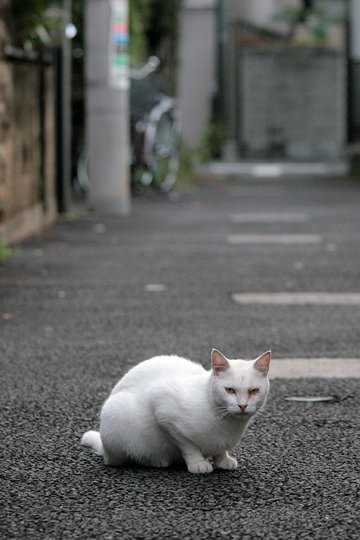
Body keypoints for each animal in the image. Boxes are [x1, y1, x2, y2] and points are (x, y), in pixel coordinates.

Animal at [81, 350, 272, 472]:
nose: (242, 405)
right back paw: (156, 460)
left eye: (254, 391)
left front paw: (223, 459)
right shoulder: (164, 410)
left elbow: (220, 450)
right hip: (117, 416)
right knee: (129, 458)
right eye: (230, 390)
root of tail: (105, 448)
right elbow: (188, 446)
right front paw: (198, 463)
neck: (228, 425)